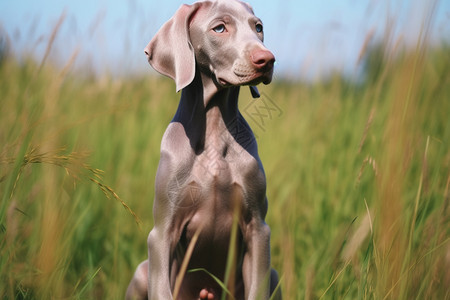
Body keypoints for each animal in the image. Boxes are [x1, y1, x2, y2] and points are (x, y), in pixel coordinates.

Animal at [126, 0, 280, 300]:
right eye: (219, 28)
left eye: (258, 28)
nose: (267, 59)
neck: (214, 129)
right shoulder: (162, 232)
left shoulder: (258, 228)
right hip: (141, 272)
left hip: (274, 277)